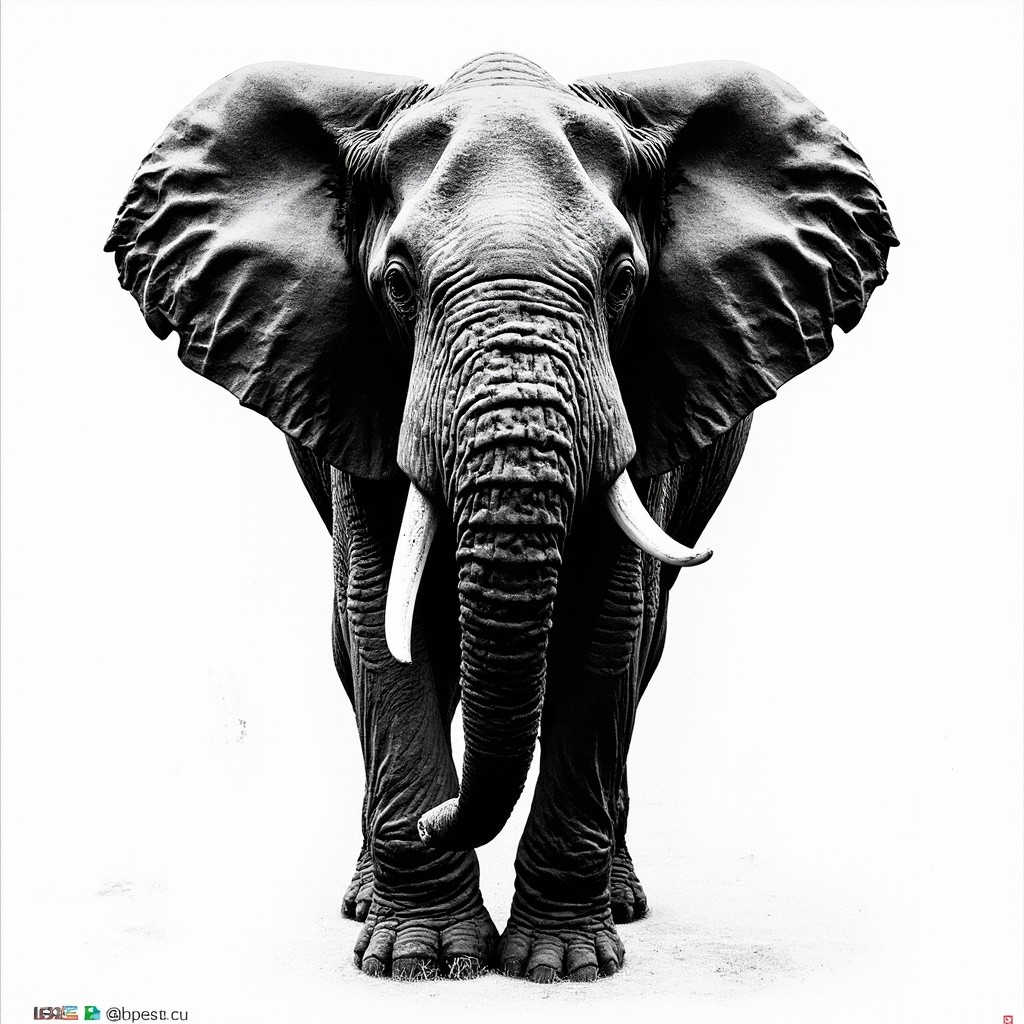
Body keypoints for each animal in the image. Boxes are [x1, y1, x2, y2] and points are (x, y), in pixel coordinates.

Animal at [106, 52, 896, 983]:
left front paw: (562, 966)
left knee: (646, 648)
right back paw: (367, 898)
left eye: (624, 281)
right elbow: (380, 626)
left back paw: (619, 901)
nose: (431, 823)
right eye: (397, 285)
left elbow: (608, 629)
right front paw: (420, 961)